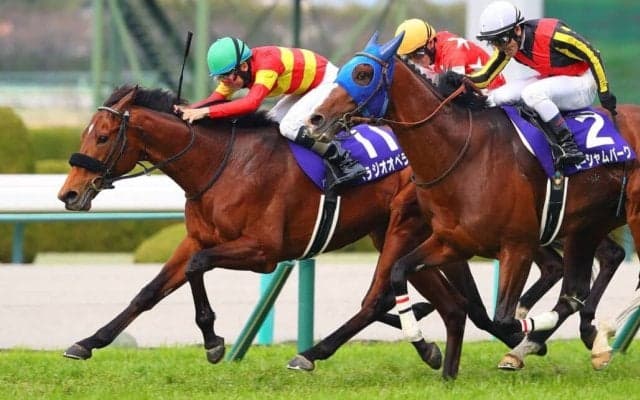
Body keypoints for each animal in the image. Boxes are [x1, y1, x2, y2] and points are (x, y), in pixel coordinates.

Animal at [303, 32, 640, 371]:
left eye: (363, 74)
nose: (315, 119)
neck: (463, 154)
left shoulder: (518, 244)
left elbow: (504, 318)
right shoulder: (452, 241)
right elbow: (399, 271)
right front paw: (422, 338)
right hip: (586, 226)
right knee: (593, 272)